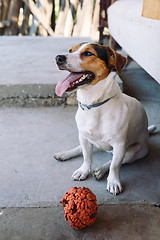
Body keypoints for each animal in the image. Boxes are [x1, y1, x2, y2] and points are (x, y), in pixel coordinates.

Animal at [53, 42, 155, 195]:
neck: (93, 106)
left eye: (88, 53)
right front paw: (83, 171)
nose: (58, 58)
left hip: (133, 152)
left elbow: (114, 166)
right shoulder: (84, 137)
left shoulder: (119, 145)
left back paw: (101, 170)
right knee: (81, 149)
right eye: (70, 50)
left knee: (114, 161)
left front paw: (113, 182)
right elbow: (87, 157)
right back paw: (64, 154)